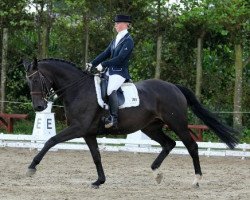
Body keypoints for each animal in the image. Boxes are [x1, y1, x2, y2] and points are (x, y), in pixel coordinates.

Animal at [23, 57, 238, 188]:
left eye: (37, 80)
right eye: (28, 82)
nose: (39, 107)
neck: (78, 89)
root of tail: (174, 87)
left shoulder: (77, 128)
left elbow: (50, 141)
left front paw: (31, 168)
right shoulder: (88, 132)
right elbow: (96, 156)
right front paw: (99, 181)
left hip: (177, 123)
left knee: (191, 146)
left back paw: (196, 180)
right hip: (151, 127)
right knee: (169, 144)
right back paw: (156, 173)